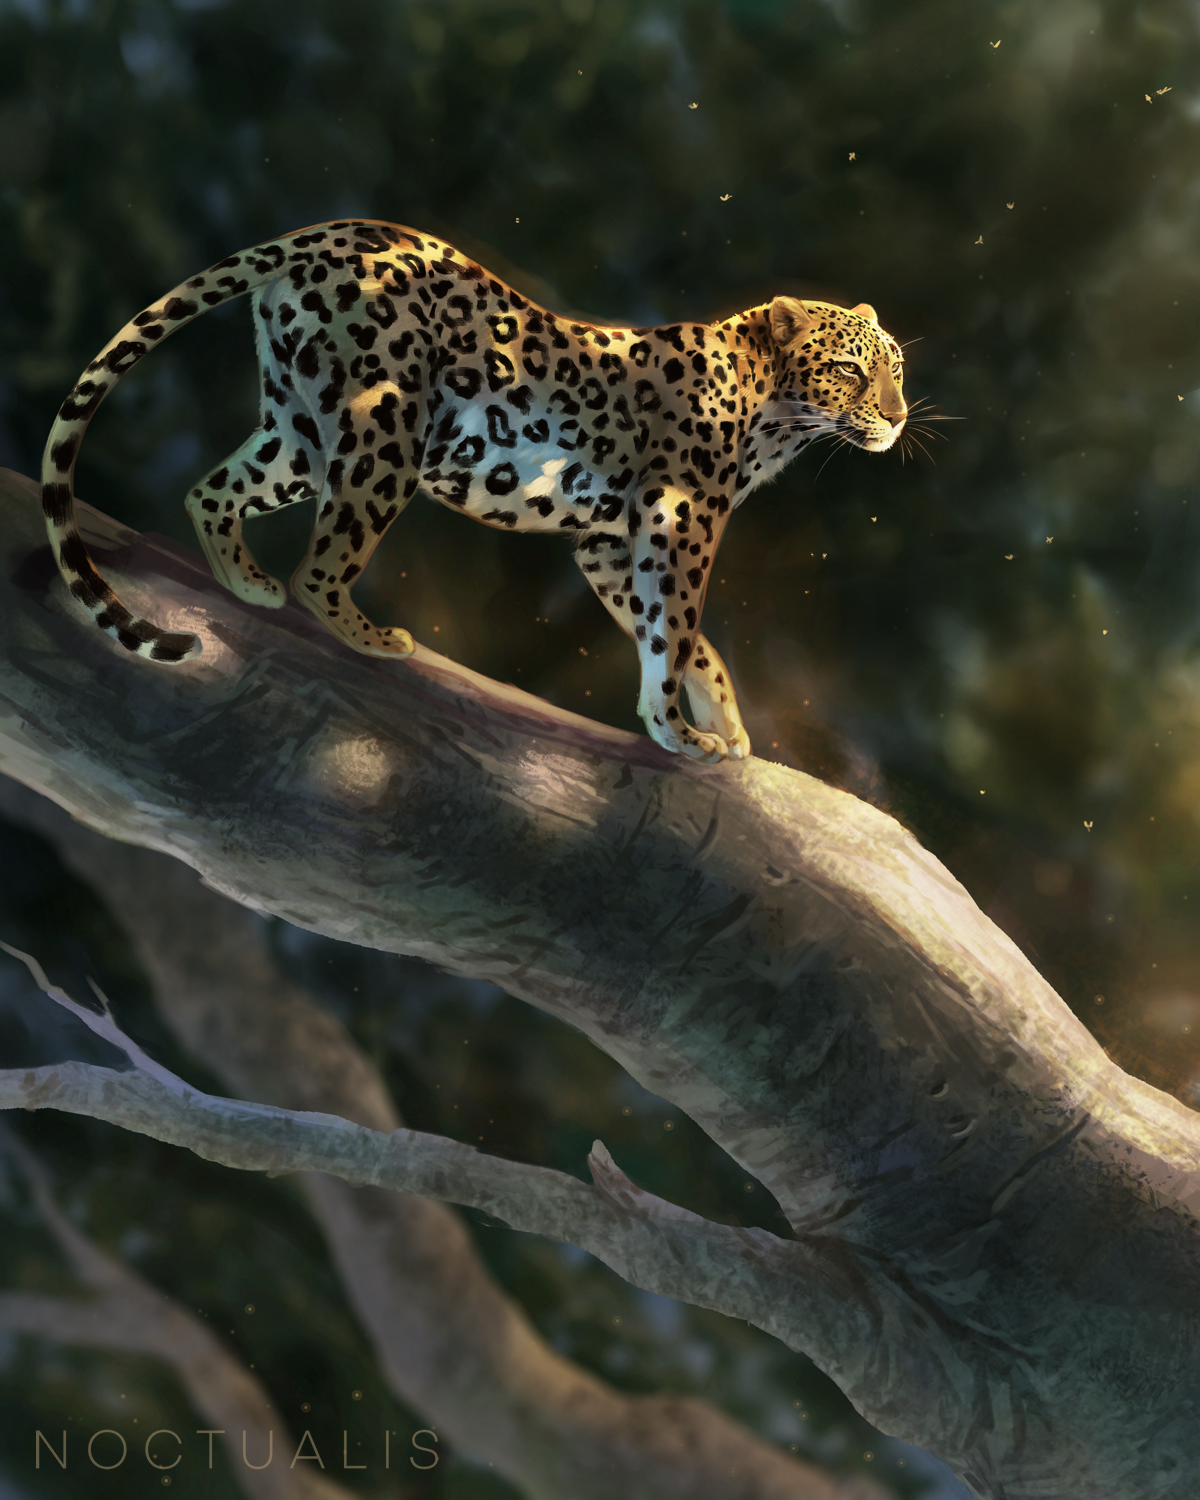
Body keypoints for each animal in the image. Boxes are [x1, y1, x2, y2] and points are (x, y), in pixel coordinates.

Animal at [41, 219, 906, 763]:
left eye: (898, 365)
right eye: (849, 369)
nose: (899, 416)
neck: (778, 419)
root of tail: (332, 231)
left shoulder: (606, 539)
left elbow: (685, 640)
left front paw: (720, 723)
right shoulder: (681, 517)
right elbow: (677, 628)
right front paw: (680, 736)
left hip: (298, 426)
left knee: (213, 492)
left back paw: (246, 583)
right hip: (386, 429)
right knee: (320, 564)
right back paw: (369, 635)